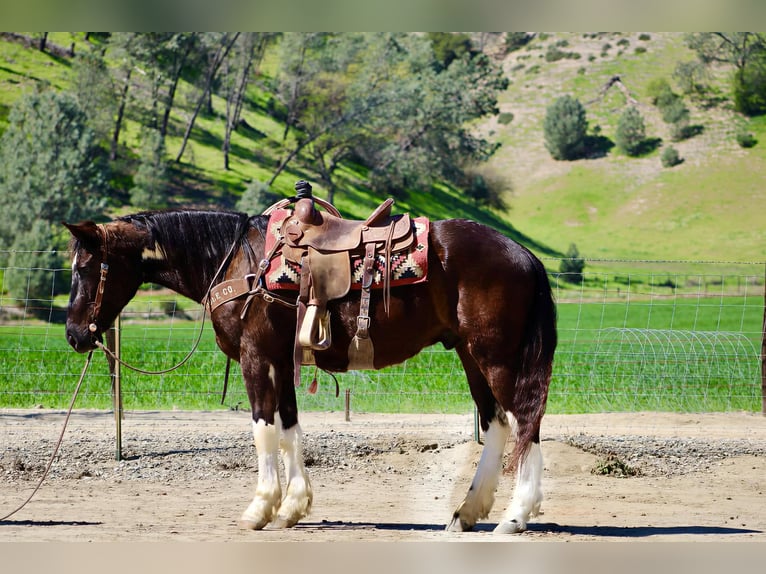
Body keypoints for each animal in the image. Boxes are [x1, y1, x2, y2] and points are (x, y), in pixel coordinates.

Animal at [63, 195, 556, 535]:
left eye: (83, 269)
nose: (73, 334)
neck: (237, 261)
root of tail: (524, 254)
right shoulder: (283, 361)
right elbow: (289, 429)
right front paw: (293, 507)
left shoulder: (257, 357)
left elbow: (263, 428)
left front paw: (260, 508)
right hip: (471, 356)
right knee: (497, 424)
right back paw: (467, 512)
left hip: (497, 357)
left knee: (525, 422)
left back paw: (515, 516)